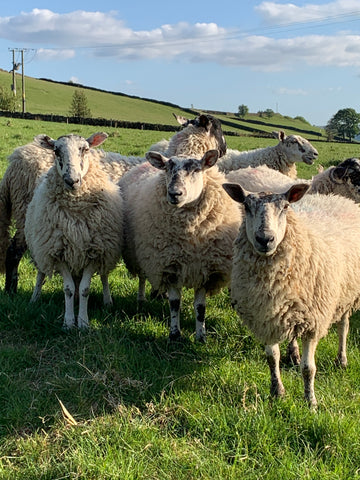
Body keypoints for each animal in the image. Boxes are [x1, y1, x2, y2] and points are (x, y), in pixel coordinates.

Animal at [24, 132, 124, 330]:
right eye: (56, 151)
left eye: (85, 149)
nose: (72, 181)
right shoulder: (58, 251)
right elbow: (68, 289)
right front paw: (69, 322)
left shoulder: (95, 251)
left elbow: (85, 289)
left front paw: (83, 322)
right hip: (41, 248)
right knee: (41, 273)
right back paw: (34, 298)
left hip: (105, 251)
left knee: (104, 276)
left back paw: (108, 301)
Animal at [120, 150, 242, 342]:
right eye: (167, 168)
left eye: (197, 170)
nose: (174, 193)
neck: (190, 237)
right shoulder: (169, 267)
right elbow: (175, 304)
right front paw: (175, 335)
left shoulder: (205, 271)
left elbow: (200, 307)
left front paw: (201, 337)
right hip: (142, 255)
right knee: (142, 277)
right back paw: (141, 299)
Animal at [224, 182, 360, 406]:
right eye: (246, 206)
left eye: (286, 207)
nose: (265, 239)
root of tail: (337, 198)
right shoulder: (265, 317)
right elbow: (272, 358)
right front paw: (277, 391)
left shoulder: (314, 321)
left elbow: (308, 368)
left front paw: (311, 402)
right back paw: (294, 352)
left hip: (346, 292)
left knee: (344, 325)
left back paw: (341, 359)